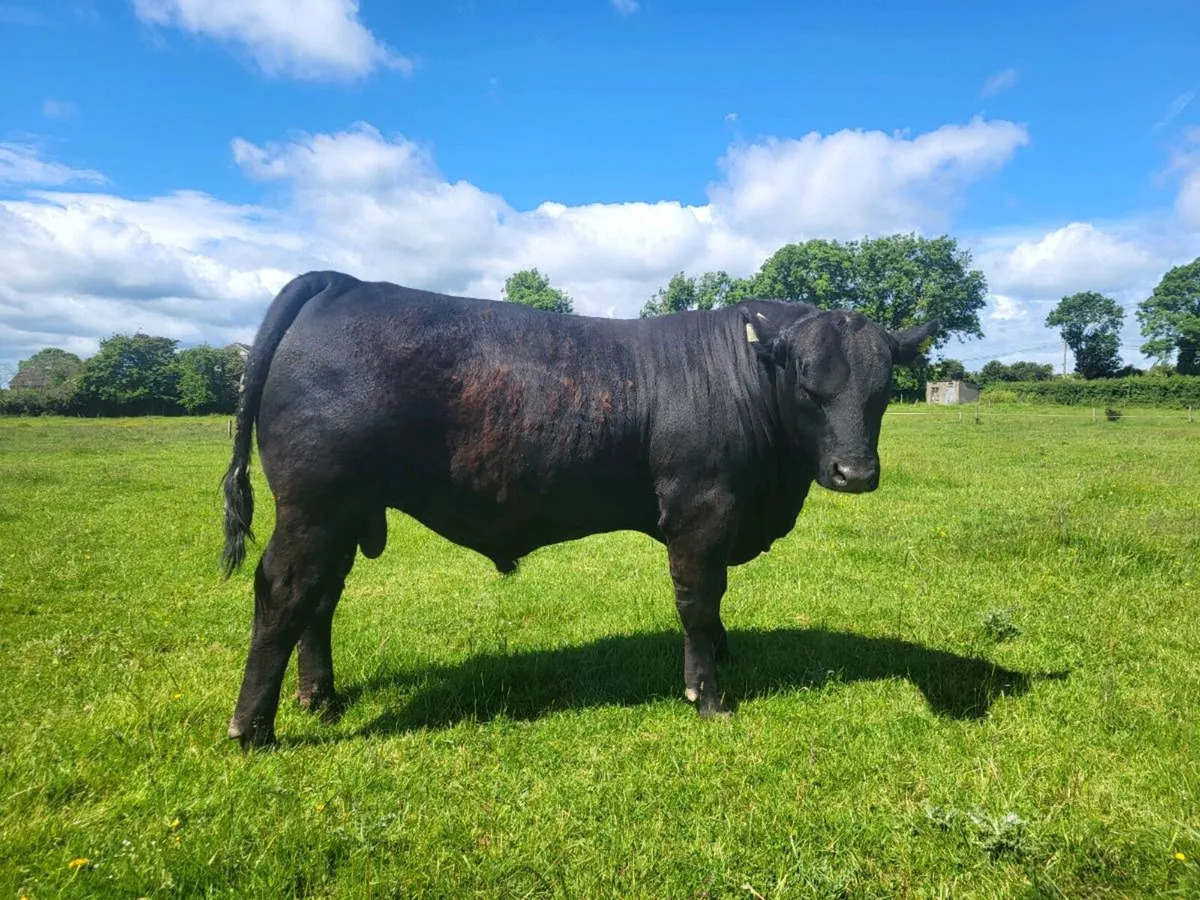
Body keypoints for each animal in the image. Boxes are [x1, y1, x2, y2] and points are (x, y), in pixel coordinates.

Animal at [219, 270, 939, 749]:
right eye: (808, 384)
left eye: (882, 390)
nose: (855, 473)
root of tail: (343, 283)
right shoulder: (699, 512)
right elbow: (698, 603)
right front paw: (708, 698)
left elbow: (715, 608)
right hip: (315, 504)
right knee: (284, 594)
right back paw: (254, 730)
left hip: (341, 513)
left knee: (320, 599)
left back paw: (322, 700)